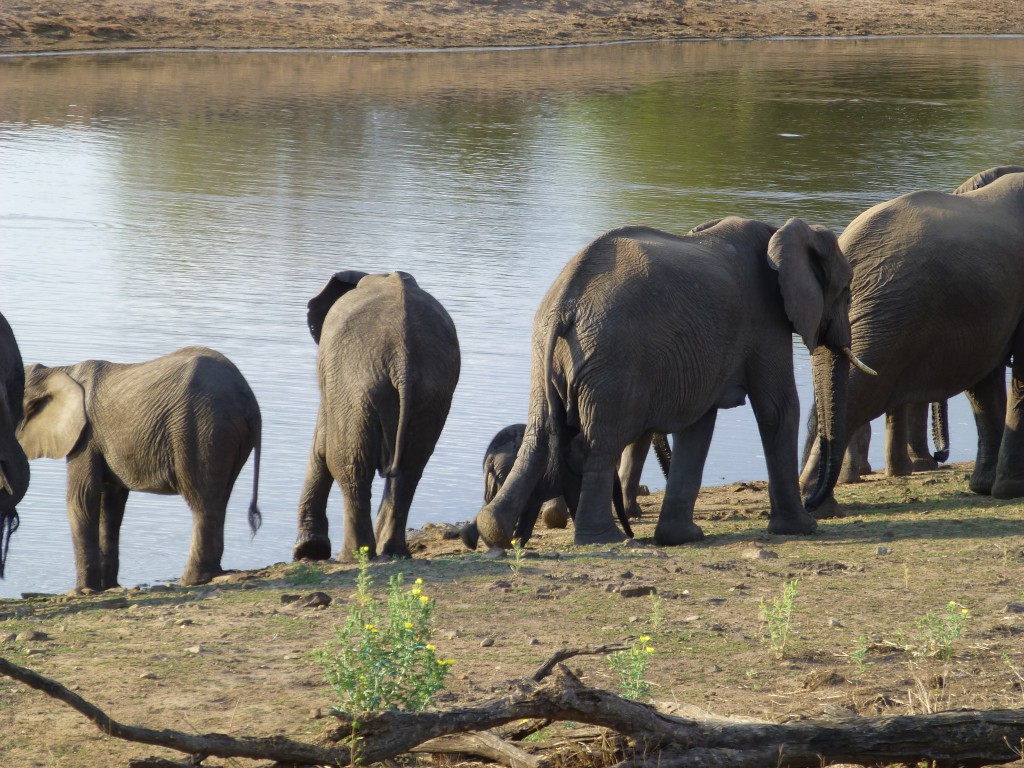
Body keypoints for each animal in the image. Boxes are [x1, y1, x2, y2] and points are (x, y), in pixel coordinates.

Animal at [18, 346, 262, 593]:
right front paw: (108, 587)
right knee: (219, 499)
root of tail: (249, 400)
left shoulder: (85, 437)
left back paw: (192, 580)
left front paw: (82, 591)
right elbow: (111, 504)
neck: (59, 371)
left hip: (202, 430)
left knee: (203, 501)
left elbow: (83, 498)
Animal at [292, 272, 460, 565]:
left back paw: (352, 557)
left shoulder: (333, 383)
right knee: (410, 469)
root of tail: (403, 361)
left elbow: (321, 446)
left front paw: (308, 552)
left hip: (355, 384)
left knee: (349, 466)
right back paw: (393, 552)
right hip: (431, 393)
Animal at [475, 218, 860, 552]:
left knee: (540, 432)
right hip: (612, 358)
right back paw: (606, 539)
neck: (777, 231)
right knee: (601, 443)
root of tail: (563, 306)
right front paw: (802, 528)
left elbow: (699, 424)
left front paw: (682, 537)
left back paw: (493, 530)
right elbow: (777, 410)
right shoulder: (765, 320)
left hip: (548, 353)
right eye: (845, 292)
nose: (813, 504)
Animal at [802, 167, 1024, 518]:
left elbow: (983, 385)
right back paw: (817, 505)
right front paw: (1009, 491)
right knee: (861, 393)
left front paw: (987, 489)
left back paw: (812, 504)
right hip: (889, 314)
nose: (941, 456)